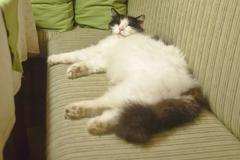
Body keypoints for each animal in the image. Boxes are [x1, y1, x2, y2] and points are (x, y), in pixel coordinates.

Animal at [47, 8, 205, 144]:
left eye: (129, 25)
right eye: (118, 23)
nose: (121, 29)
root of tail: (191, 84)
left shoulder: (97, 52)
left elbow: (73, 54)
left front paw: (53, 59)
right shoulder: (103, 60)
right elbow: (87, 64)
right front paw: (75, 70)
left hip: (127, 90)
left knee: (104, 104)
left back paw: (76, 111)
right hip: (138, 97)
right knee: (118, 113)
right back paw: (97, 125)